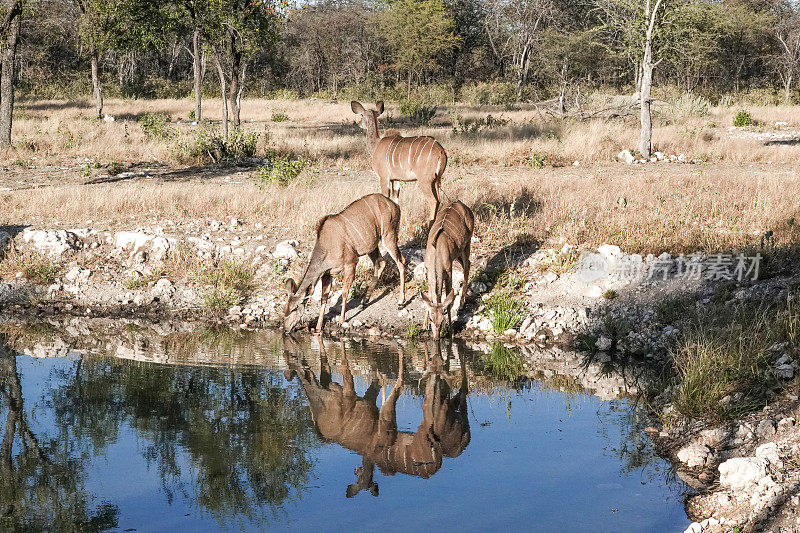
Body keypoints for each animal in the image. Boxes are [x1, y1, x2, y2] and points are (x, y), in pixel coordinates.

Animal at [282, 193, 406, 330]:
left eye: (294, 308)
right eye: (284, 309)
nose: (286, 329)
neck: (327, 246)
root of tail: (395, 205)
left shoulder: (351, 263)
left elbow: (345, 292)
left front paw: (341, 320)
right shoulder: (327, 274)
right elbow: (324, 298)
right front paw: (318, 327)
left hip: (389, 236)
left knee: (401, 261)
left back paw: (401, 302)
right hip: (372, 245)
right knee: (380, 262)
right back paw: (364, 301)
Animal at [422, 200, 472, 336]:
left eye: (442, 319)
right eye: (431, 319)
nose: (436, 338)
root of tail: (460, 203)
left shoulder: (448, 273)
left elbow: (448, 302)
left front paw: (451, 333)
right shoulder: (429, 273)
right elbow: (429, 296)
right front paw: (424, 326)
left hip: (467, 242)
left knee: (467, 265)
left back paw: (461, 304)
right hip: (458, 252)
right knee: (468, 263)